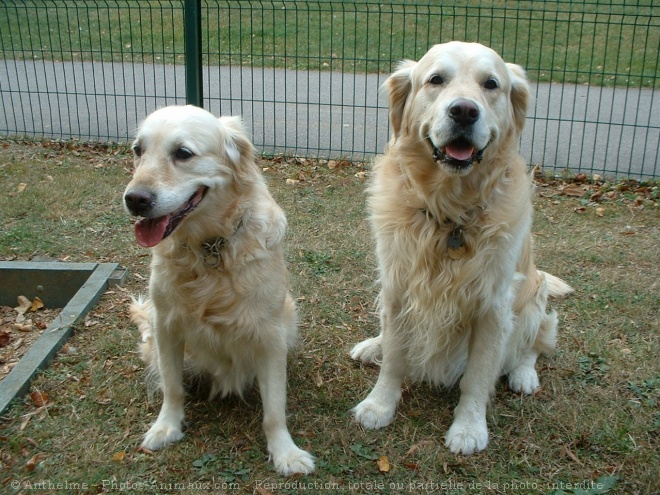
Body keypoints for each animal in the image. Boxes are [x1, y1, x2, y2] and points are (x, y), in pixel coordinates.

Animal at [123, 105, 314, 476]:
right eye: (139, 150)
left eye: (183, 153)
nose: (135, 200)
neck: (209, 248)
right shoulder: (166, 325)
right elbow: (172, 387)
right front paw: (166, 426)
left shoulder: (271, 336)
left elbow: (274, 409)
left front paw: (285, 452)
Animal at [350, 43, 572, 458]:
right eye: (436, 79)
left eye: (491, 84)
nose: (465, 111)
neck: (450, 213)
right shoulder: (398, 287)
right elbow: (395, 359)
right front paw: (379, 404)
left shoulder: (493, 305)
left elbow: (478, 376)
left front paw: (469, 428)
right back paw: (372, 345)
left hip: (533, 297)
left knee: (533, 344)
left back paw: (524, 374)